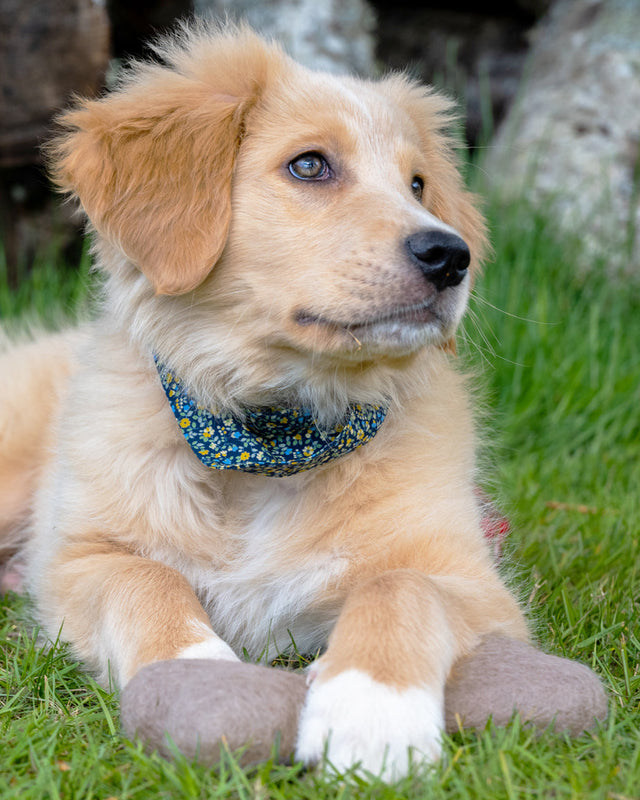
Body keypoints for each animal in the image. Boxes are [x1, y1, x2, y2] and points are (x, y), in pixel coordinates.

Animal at [1, 21, 536, 780]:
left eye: (419, 185)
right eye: (309, 166)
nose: (450, 256)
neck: (269, 438)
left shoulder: (472, 579)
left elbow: (403, 588)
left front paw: (373, 711)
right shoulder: (77, 557)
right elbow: (146, 581)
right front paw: (197, 675)